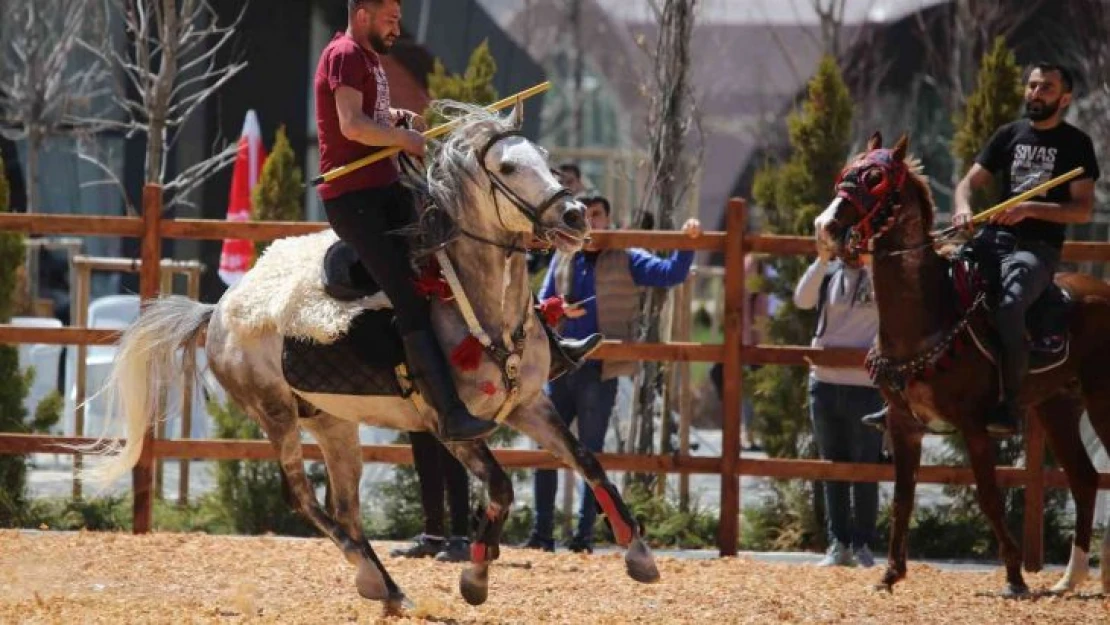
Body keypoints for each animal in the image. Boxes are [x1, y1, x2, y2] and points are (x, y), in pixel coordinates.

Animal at [82, 100, 661, 608]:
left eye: (544, 155)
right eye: (509, 166)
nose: (575, 214)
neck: (477, 304)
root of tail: (220, 310)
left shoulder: (530, 405)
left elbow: (588, 461)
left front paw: (638, 553)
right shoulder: (452, 428)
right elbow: (499, 488)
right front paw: (474, 576)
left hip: (334, 424)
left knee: (345, 510)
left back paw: (388, 589)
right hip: (276, 415)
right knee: (305, 499)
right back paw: (372, 578)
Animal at [816, 133, 1110, 595]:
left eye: (875, 177)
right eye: (847, 172)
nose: (825, 226)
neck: (929, 316)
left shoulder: (974, 424)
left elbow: (989, 496)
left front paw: (1014, 577)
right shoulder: (903, 424)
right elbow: (902, 498)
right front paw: (889, 575)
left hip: (1101, 401)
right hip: (1059, 406)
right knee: (1084, 479)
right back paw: (1068, 580)